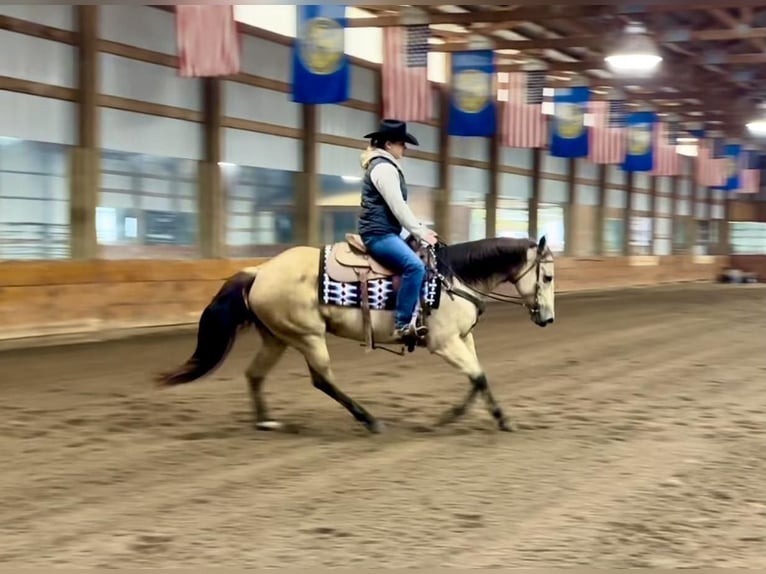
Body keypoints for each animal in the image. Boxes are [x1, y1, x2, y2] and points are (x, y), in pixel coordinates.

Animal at [158, 234, 560, 436]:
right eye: (548, 276)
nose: (548, 319)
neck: (452, 278)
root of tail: (260, 271)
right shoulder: (444, 343)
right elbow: (477, 376)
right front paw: (454, 419)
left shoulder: (464, 340)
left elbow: (479, 378)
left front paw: (484, 417)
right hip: (307, 336)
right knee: (322, 379)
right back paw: (368, 419)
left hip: (277, 337)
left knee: (255, 374)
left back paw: (265, 421)